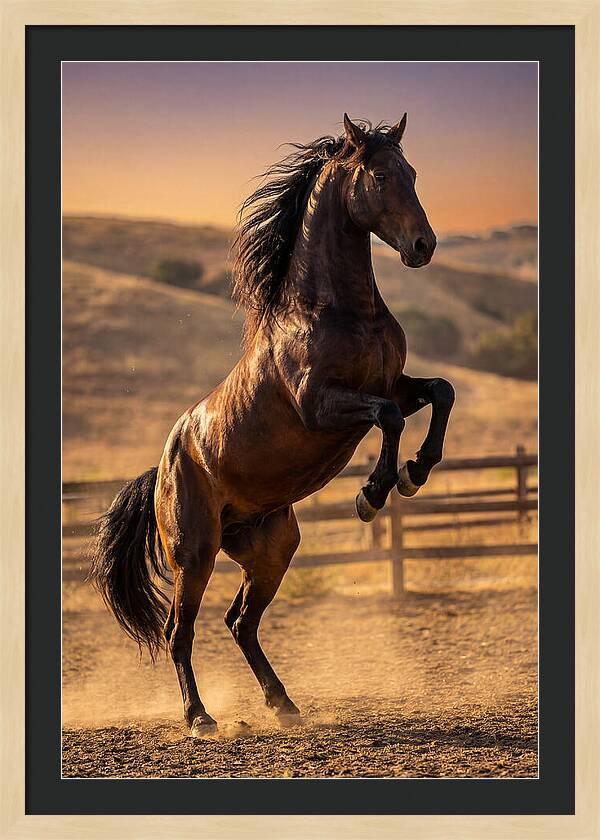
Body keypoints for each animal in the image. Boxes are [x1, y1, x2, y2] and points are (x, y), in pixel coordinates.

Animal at [89, 114, 455, 736]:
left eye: (412, 172)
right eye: (381, 175)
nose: (423, 246)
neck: (335, 310)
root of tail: (162, 467)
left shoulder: (394, 386)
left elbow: (440, 393)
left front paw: (414, 473)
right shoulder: (321, 405)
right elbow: (386, 420)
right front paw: (372, 494)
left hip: (271, 547)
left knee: (240, 622)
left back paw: (283, 704)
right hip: (196, 553)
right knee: (180, 633)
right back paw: (200, 718)